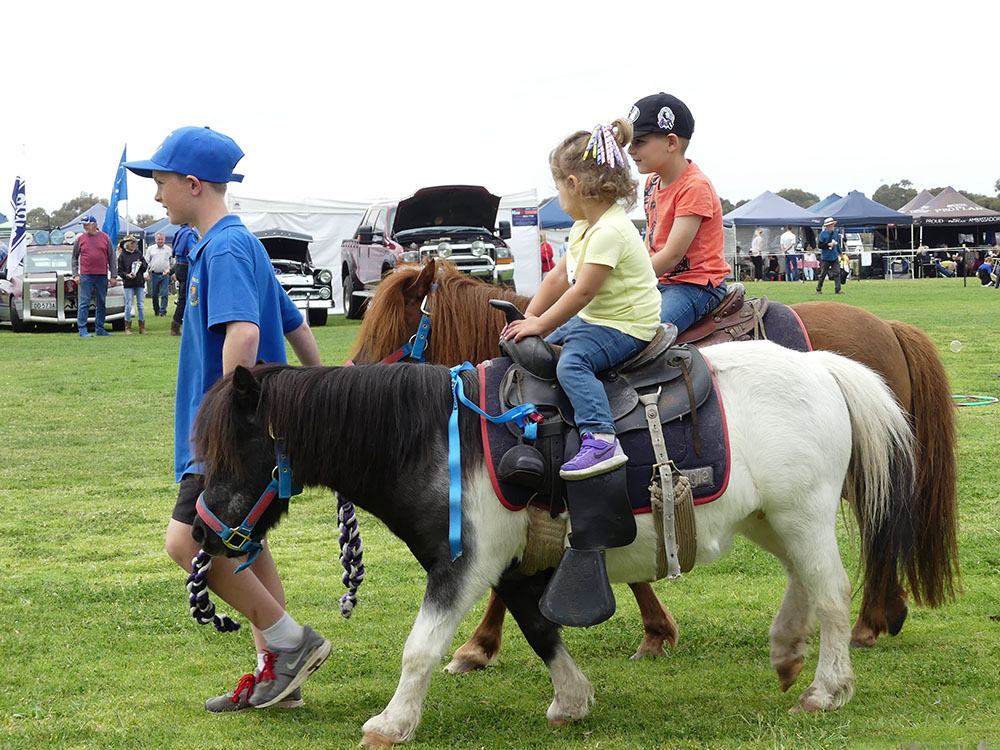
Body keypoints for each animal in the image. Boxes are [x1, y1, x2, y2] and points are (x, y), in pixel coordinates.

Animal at [189, 342, 916, 750]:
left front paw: (391, 724)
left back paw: (825, 689)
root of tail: (821, 369)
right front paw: (571, 700)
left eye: (232, 449)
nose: (198, 531)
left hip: (802, 512)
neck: (431, 441)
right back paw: (787, 648)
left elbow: (420, 647)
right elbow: (540, 629)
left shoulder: (464, 564)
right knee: (803, 581)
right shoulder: (510, 568)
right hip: (773, 516)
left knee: (832, 593)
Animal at [348, 262, 956, 668]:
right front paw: (656, 629)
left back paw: (872, 621)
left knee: (883, 529)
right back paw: (884, 615)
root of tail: (887, 327)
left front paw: (476, 647)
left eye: (387, 326)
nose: (354, 377)